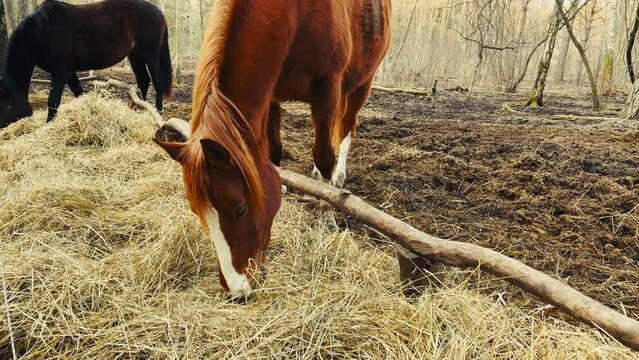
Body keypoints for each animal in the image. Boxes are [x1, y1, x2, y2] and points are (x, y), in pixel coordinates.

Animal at [0, 0, 174, 129]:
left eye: (4, 106)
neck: (41, 32)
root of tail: (158, 12)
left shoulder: (60, 72)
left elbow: (53, 101)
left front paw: (48, 126)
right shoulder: (69, 73)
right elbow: (79, 93)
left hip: (150, 53)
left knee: (157, 81)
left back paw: (158, 110)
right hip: (135, 54)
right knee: (143, 79)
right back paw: (138, 109)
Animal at [157, 0, 392, 298]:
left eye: (240, 209)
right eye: (199, 213)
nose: (237, 289)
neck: (297, 14)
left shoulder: (328, 88)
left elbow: (325, 155)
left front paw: (327, 211)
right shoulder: (271, 94)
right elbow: (273, 154)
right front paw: (284, 184)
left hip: (362, 83)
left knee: (347, 128)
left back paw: (338, 177)